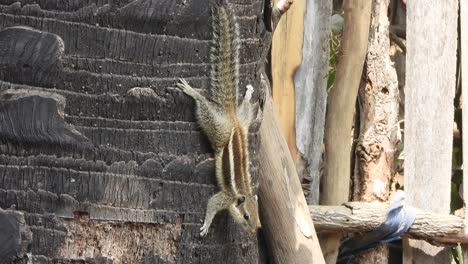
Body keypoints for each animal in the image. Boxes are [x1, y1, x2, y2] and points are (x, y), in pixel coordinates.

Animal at [177, 0, 262, 236]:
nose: (253, 232)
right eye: (246, 216)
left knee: (246, 109)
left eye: (259, 219)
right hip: (217, 130)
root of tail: (232, 119)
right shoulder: (225, 197)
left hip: (245, 120)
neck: (242, 194)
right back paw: (193, 92)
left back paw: (248, 94)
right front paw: (206, 224)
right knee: (204, 109)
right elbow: (212, 203)